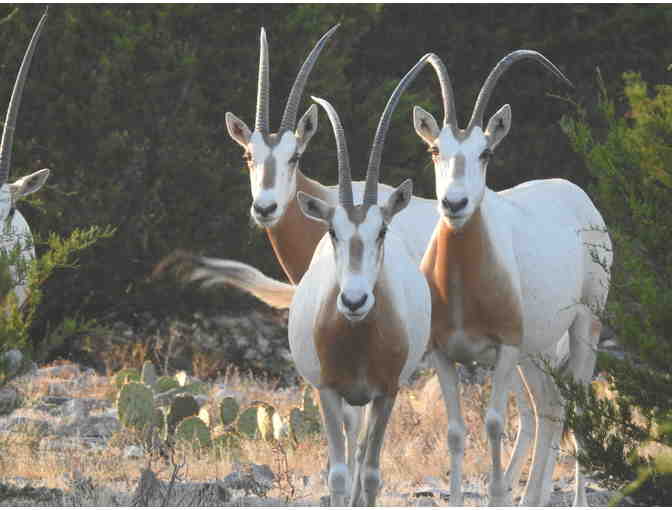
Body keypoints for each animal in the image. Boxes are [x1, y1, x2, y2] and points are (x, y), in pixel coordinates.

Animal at [413, 50, 612, 506]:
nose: (454, 203)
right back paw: (533, 496)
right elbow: (455, 431)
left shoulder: (503, 350)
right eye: (435, 149)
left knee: (576, 406)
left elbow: (493, 423)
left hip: (583, 327)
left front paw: (497, 496)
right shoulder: (442, 354)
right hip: (535, 352)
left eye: (485, 152)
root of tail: (578, 196)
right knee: (550, 406)